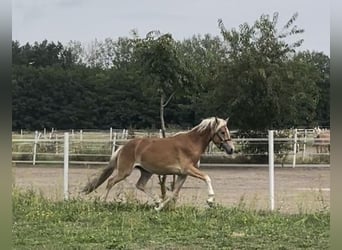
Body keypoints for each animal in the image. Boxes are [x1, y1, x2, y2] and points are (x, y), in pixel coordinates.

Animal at [81, 117, 234, 211]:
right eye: (222, 131)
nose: (231, 149)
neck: (191, 143)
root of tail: (123, 146)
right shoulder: (188, 169)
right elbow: (207, 177)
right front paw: (210, 200)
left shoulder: (183, 174)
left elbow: (174, 192)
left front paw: (159, 208)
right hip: (124, 171)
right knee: (111, 181)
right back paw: (103, 202)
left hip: (146, 171)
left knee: (140, 185)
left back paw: (157, 202)